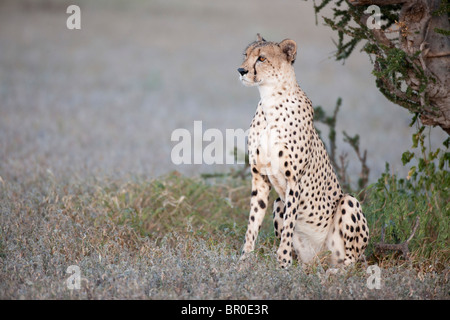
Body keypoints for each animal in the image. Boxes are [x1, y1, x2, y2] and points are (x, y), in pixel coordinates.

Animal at [237, 35, 368, 268]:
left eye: (262, 58)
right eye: (246, 55)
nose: (241, 70)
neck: (270, 99)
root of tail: (319, 258)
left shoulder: (294, 181)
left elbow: (289, 225)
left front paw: (282, 264)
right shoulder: (260, 177)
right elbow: (253, 223)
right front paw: (244, 261)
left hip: (349, 204)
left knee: (351, 261)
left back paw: (335, 272)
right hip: (279, 204)